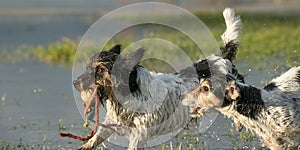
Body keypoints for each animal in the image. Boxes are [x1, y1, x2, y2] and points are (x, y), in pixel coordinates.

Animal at [73, 7, 244, 149]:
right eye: (88, 67)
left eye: (100, 69)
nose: (74, 83)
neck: (131, 91)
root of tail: (222, 59)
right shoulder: (113, 121)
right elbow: (96, 137)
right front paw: (85, 146)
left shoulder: (139, 134)